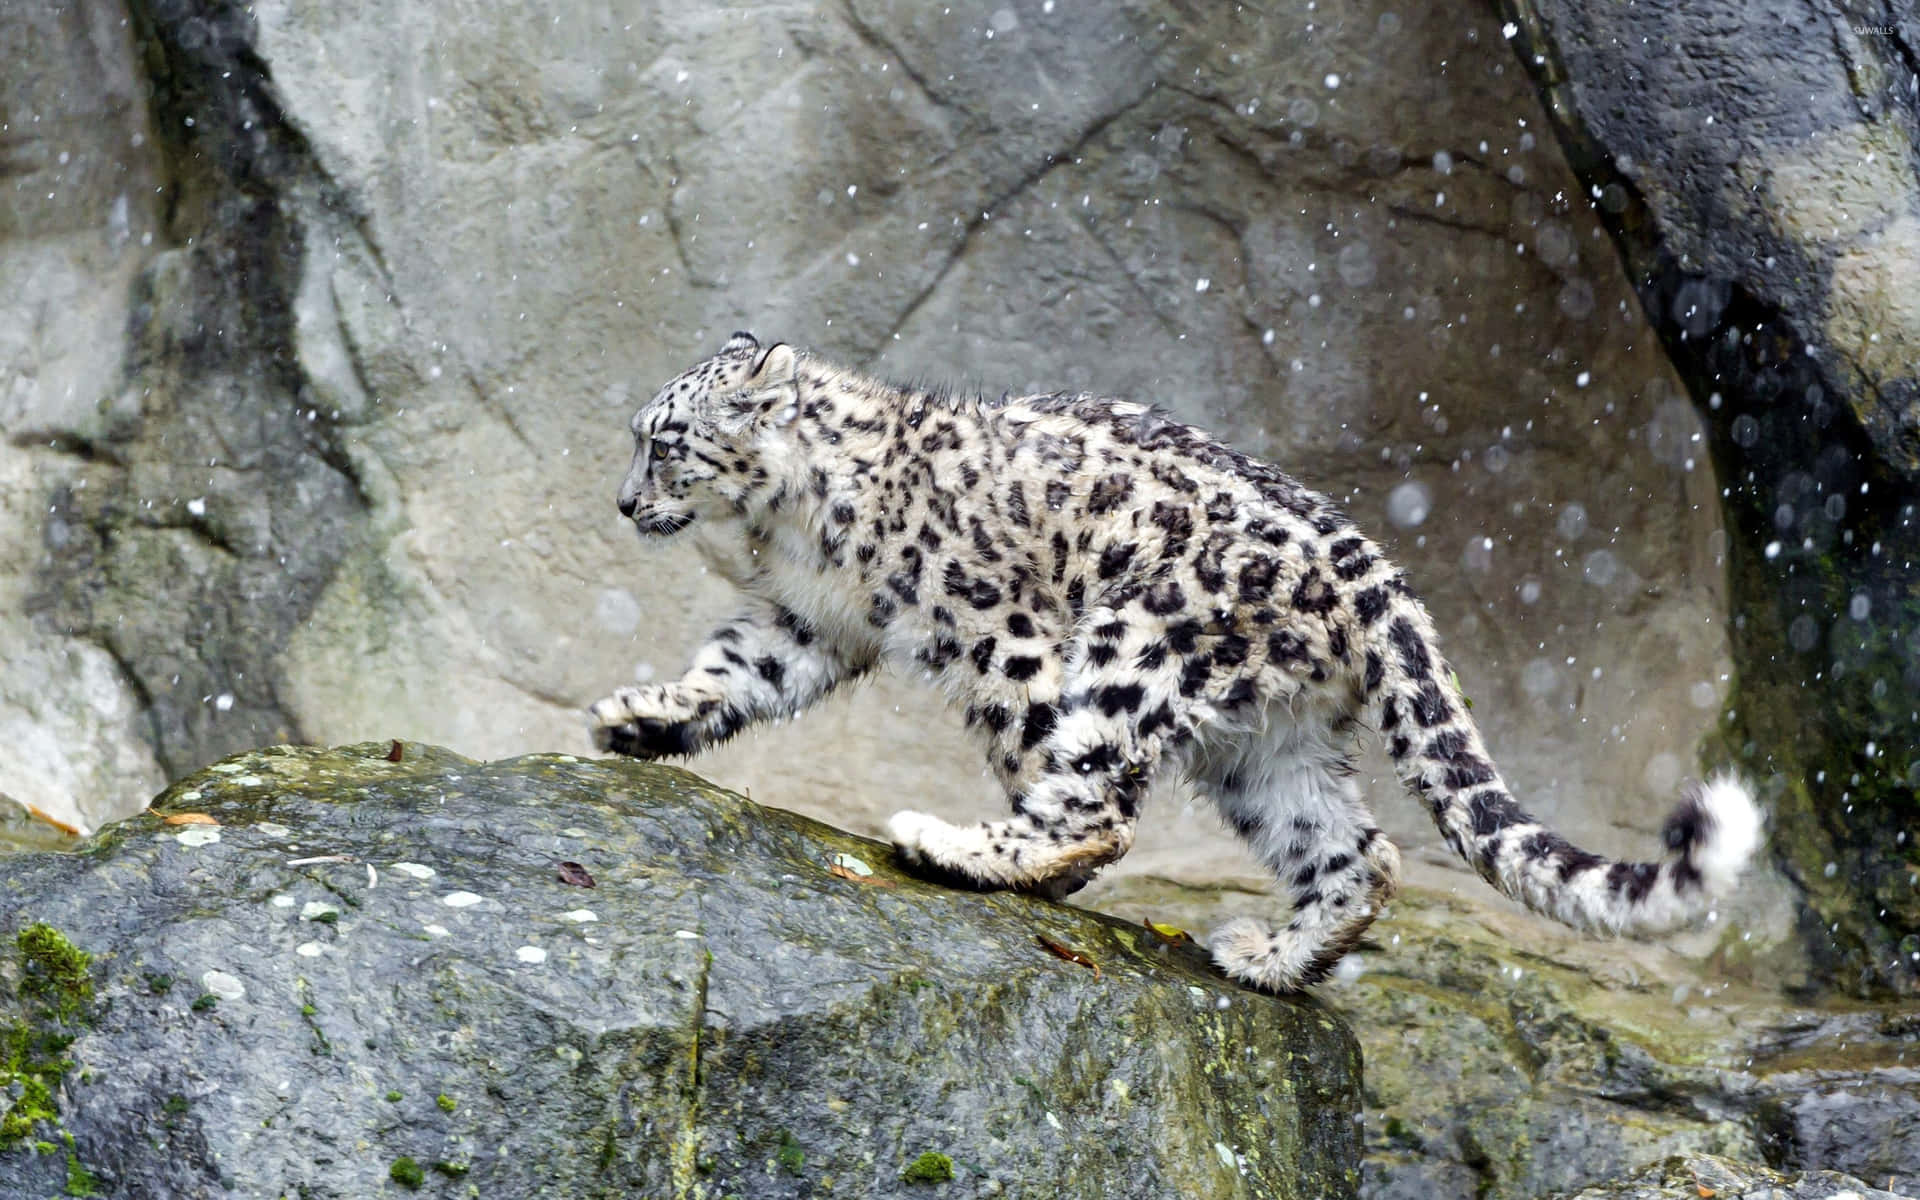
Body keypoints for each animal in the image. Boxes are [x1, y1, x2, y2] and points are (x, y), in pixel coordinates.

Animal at [587, 332, 1762, 992]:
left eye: (667, 442)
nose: (624, 501)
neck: (788, 530)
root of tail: (1376, 571)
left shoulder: (1000, 629)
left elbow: (1038, 750)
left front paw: (1038, 870)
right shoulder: (807, 623)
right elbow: (732, 672)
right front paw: (639, 715)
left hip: (1139, 640)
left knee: (1101, 794)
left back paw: (955, 844)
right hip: (1269, 739)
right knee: (1355, 849)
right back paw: (1272, 960)